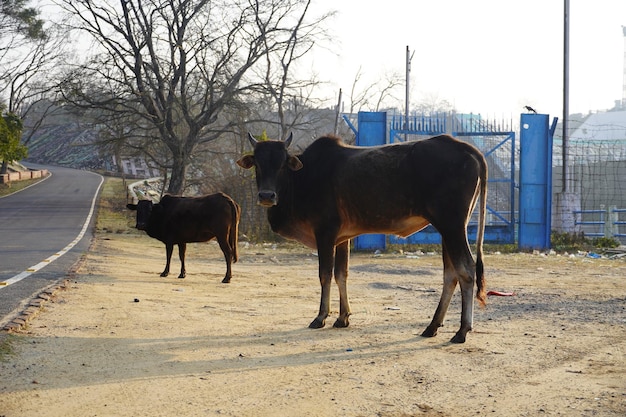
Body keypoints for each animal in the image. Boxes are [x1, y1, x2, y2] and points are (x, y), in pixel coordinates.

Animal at [239, 132, 488, 342]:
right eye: (257, 164)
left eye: (282, 164)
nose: (266, 196)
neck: (303, 177)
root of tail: (465, 148)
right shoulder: (343, 238)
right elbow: (341, 274)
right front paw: (342, 317)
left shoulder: (325, 233)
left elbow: (325, 275)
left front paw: (321, 317)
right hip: (449, 229)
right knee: (451, 274)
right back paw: (433, 326)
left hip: (452, 226)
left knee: (466, 270)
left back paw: (462, 330)